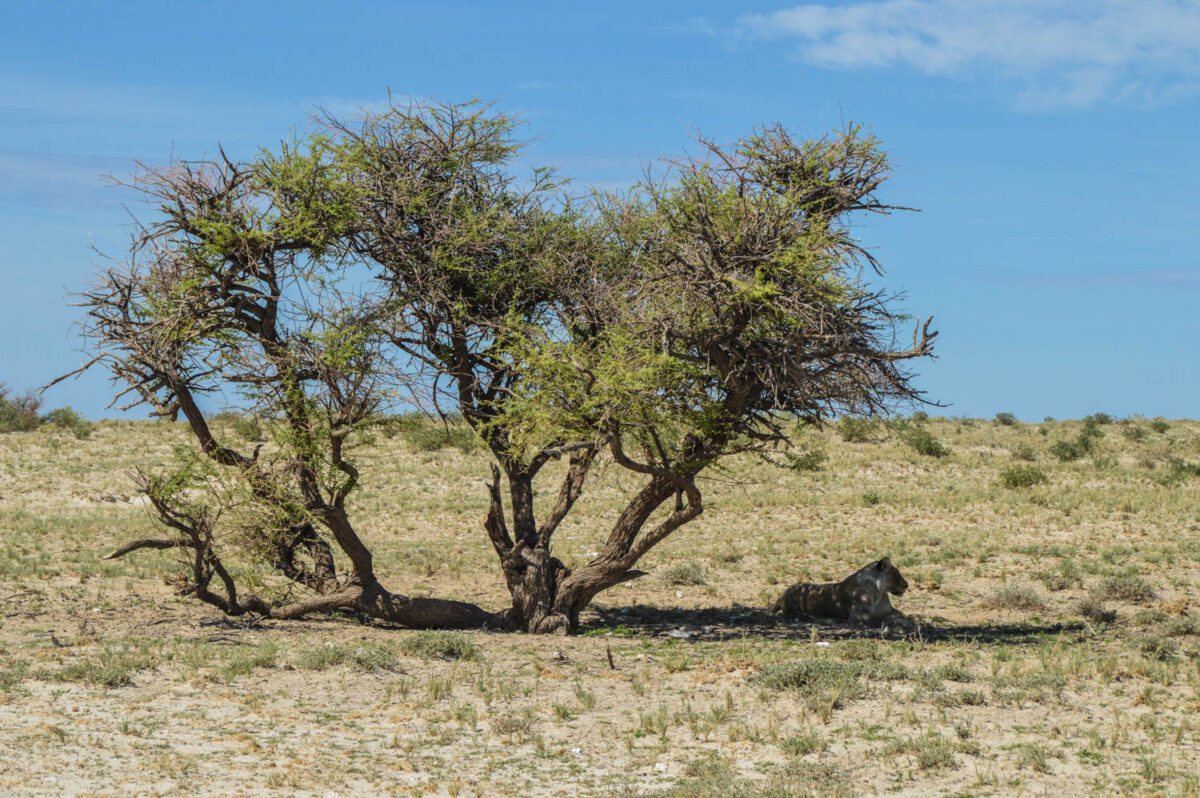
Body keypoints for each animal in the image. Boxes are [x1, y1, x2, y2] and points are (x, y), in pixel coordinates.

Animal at [768, 558, 909, 626]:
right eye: (896, 574)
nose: (907, 585)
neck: (878, 592)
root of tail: (782, 595)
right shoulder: (858, 617)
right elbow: (882, 618)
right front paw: (900, 622)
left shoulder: (889, 609)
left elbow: (902, 614)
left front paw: (911, 618)